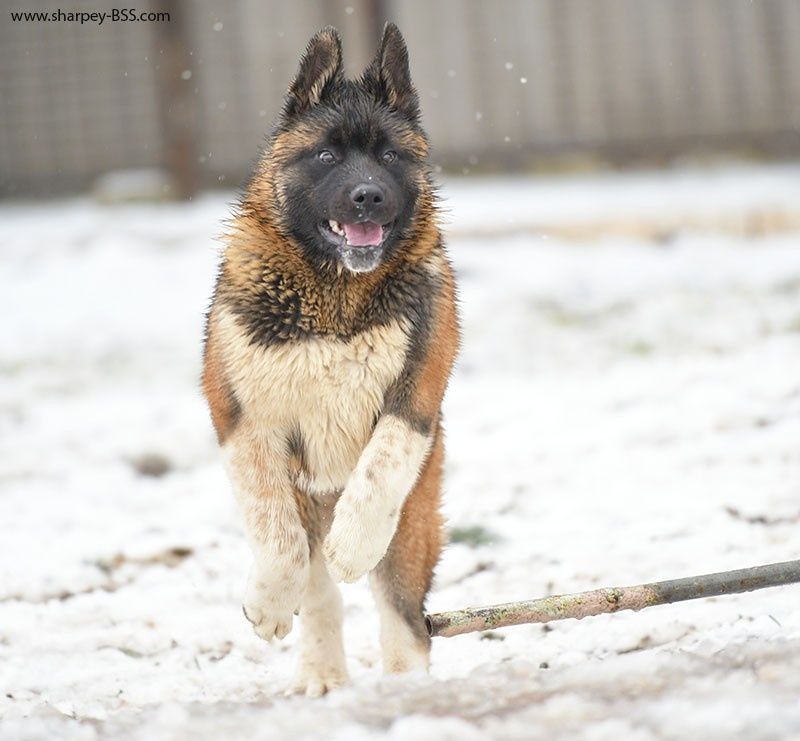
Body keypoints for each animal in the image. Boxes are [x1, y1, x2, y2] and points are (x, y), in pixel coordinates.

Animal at [203, 21, 460, 692]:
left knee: (404, 614)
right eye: (326, 156)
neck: (333, 295)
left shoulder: (418, 392)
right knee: (318, 592)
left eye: (390, 156)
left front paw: (353, 543)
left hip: (415, 520)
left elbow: (381, 464)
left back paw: (403, 685)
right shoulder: (240, 414)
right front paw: (267, 602)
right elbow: (275, 533)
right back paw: (320, 672)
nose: (367, 197)